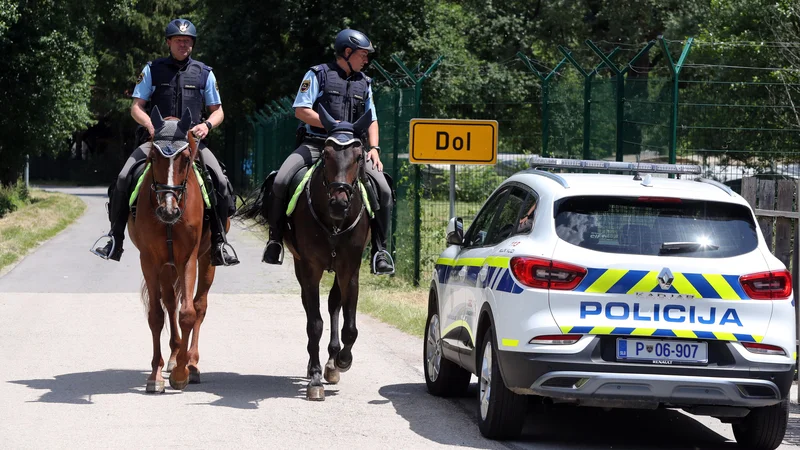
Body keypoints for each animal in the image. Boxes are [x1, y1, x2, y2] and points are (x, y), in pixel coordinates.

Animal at [128, 107, 222, 392]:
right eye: (154, 157)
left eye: (185, 158)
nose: (168, 211)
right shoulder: (150, 261)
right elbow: (156, 315)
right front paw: (156, 375)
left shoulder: (187, 258)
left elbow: (188, 313)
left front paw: (181, 374)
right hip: (166, 267)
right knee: (169, 303)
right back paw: (173, 356)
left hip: (206, 260)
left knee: (199, 305)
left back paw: (191, 363)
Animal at [238, 106, 376, 400]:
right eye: (326, 155)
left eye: (359, 156)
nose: (339, 202)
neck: (334, 221)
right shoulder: (311, 268)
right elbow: (314, 324)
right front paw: (314, 378)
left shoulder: (350, 268)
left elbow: (350, 326)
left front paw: (342, 360)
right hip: (301, 266)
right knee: (310, 308)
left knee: (335, 303)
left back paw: (333, 362)